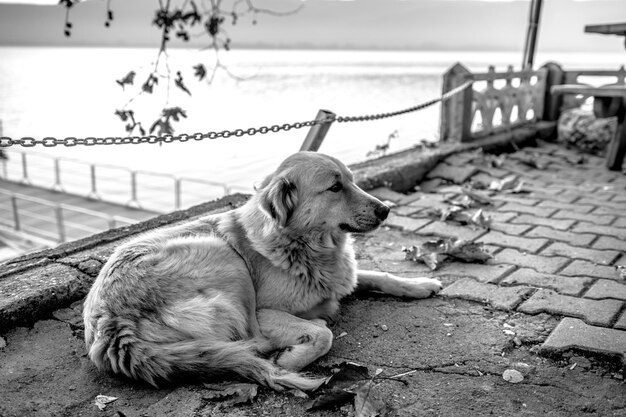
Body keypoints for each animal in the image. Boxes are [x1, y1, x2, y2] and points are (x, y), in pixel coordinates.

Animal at [83, 152, 442, 390]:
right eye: (335, 187)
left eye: (353, 181)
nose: (386, 210)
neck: (306, 246)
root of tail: (110, 323)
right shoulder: (266, 310)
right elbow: (323, 337)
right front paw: (291, 358)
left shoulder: (342, 278)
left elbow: (381, 276)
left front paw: (420, 284)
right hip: (227, 260)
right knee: (253, 339)